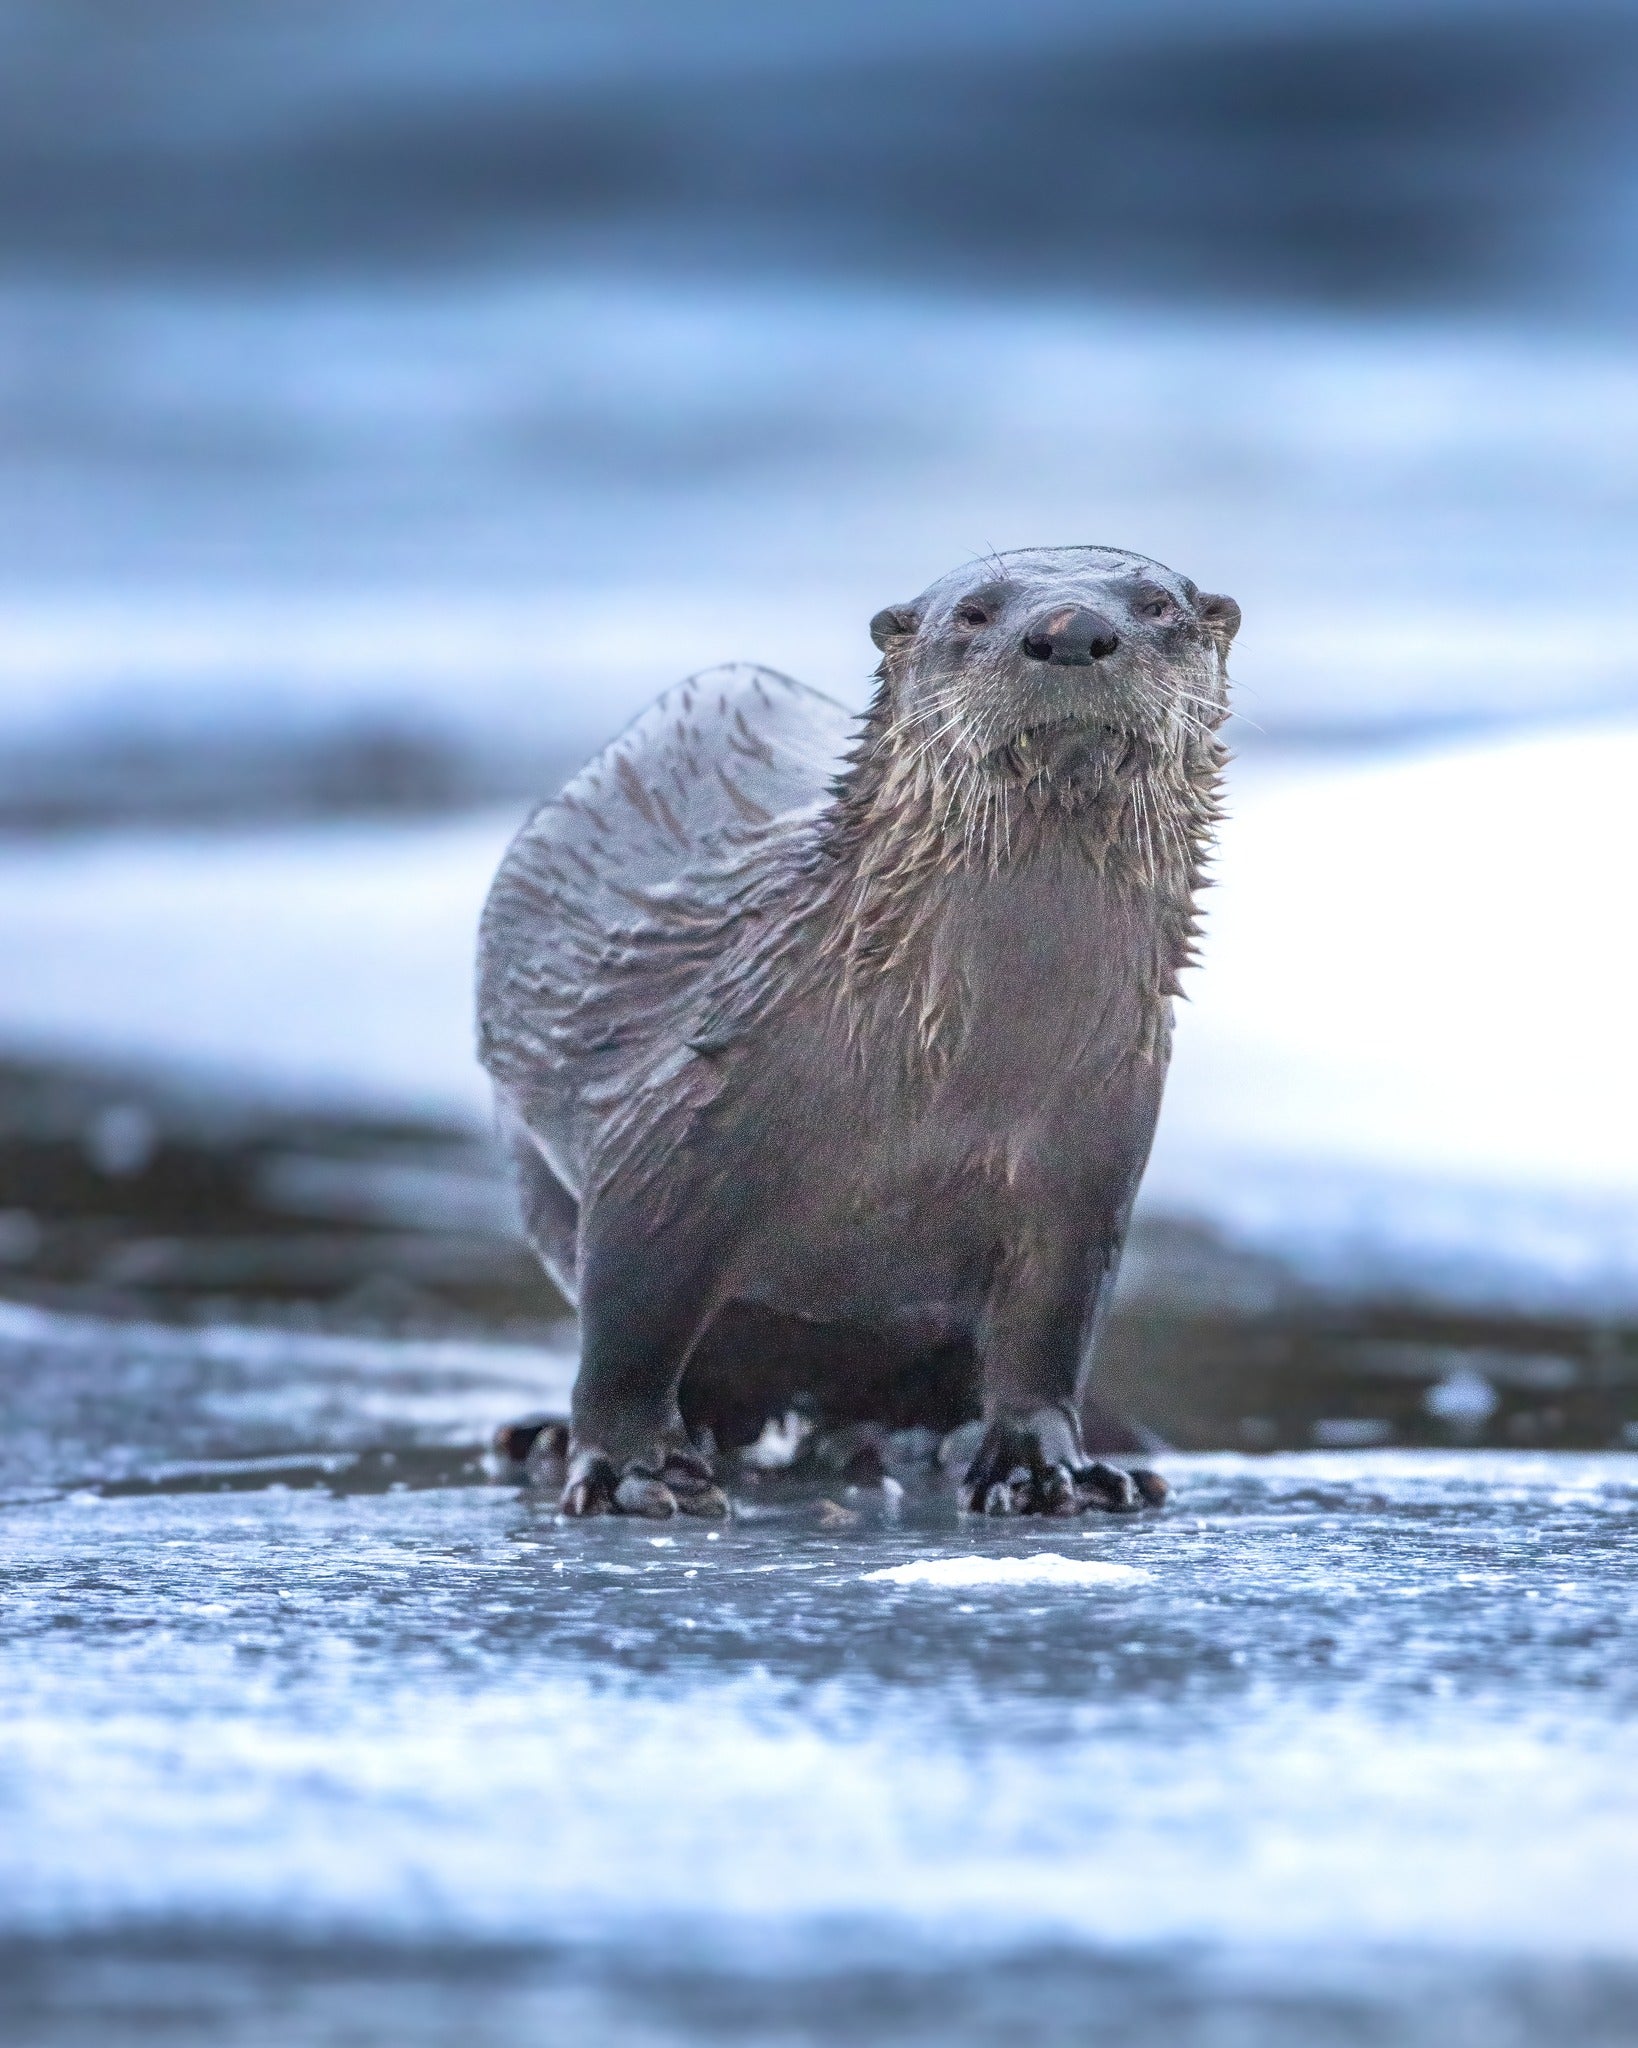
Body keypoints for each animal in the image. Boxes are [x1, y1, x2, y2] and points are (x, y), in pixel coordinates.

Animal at [479, 552, 1236, 1515]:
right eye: (973, 612)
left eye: (1156, 605)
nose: (1070, 629)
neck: (953, 1085)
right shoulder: (667, 1133)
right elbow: (628, 1330)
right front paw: (632, 1472)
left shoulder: (1092, 1162)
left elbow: (1049, 1336)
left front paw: (1047, 1470)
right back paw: (547, 1437)